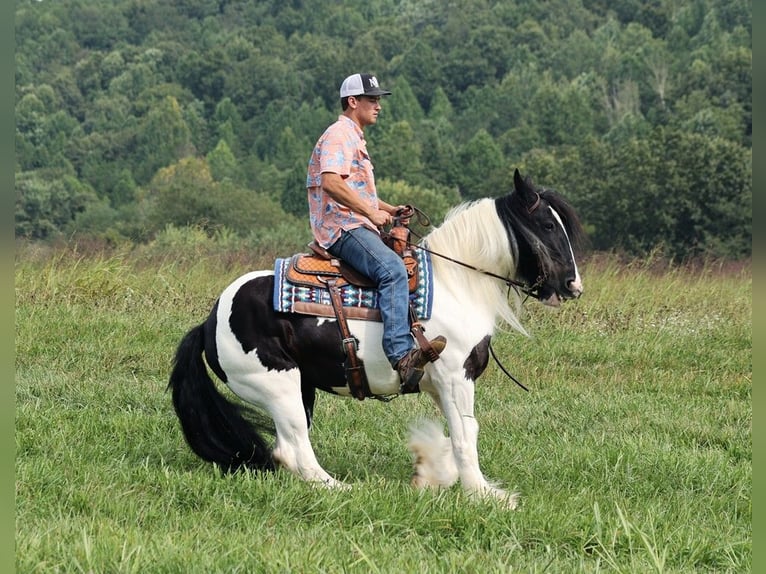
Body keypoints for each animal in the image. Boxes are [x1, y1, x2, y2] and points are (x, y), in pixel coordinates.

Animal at [170, 170, 588, 508]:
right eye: (547, 226)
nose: (572, 285)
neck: (457, 284)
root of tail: (208, 322)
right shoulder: (456, 376)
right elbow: (466, 433)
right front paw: (485, 494)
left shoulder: (438, 383)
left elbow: (455, 432)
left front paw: (434, 472)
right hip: (278, 385)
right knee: (293, 450)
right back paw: (340, 488)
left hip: (300, 389)